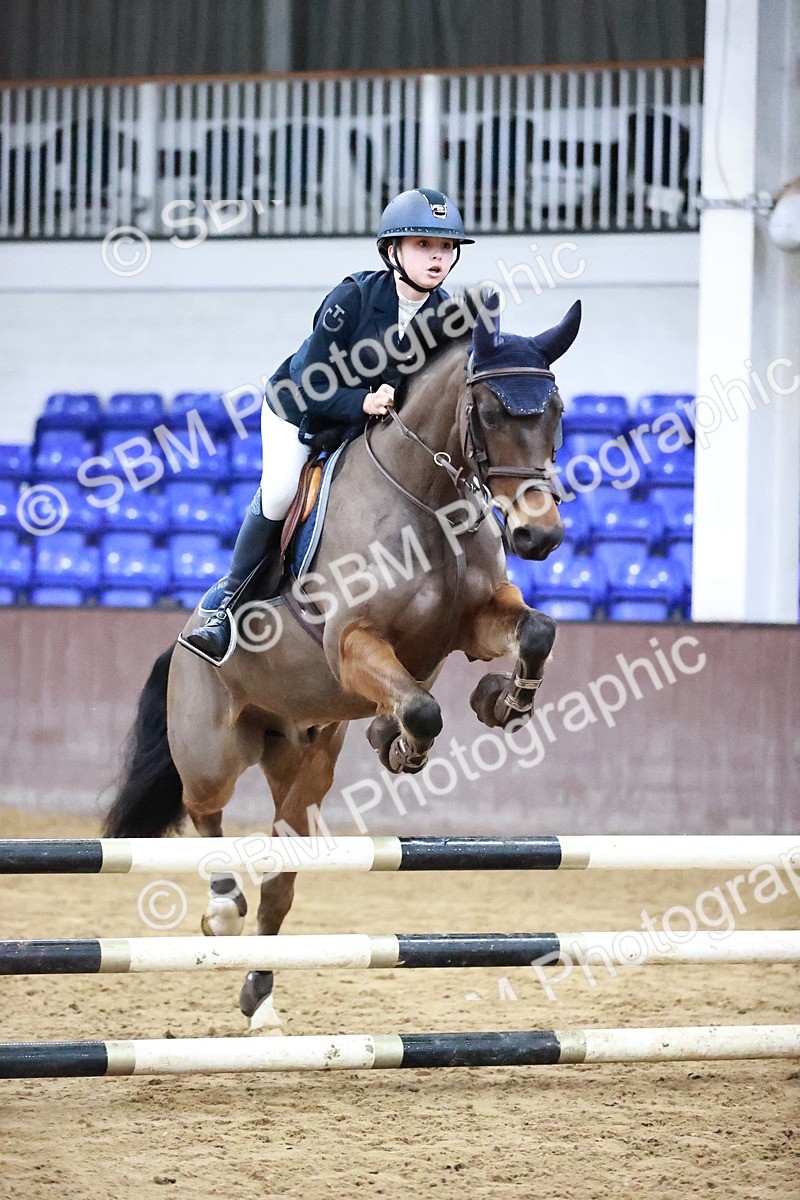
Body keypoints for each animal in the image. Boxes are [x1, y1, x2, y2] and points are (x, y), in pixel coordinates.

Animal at [104, 295, 581, 1030]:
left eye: (554, 410)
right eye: (489, 413)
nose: (540, 535)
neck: (425, 499)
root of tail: (179, 642)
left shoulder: (474, 625)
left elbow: (536, 631)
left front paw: (501, 703)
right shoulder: (353, 641)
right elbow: (422, 705)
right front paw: (406, 743)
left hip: (305, 765)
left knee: (279, 878)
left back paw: (260, 997)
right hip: (212, 746)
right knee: (201, 809)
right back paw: (221, 905)